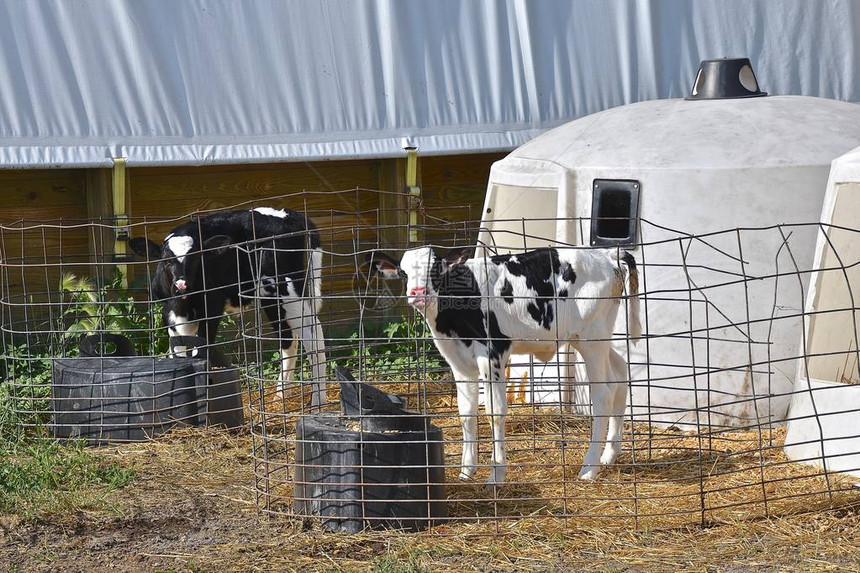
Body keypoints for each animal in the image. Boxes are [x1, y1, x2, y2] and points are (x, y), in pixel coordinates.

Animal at [129, 208, 328, 404]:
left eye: (196, 258)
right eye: (167, 261)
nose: (181, 285)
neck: (184, 304)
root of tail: (288, 213)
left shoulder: (212, 308)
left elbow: (201, 351)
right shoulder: (169, 314)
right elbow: (177, 354)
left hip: (288, 289)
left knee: (313, 336)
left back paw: (318, 401)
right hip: (270, 297)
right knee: (288, 338)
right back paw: (281, 394)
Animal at [366, 246, 640, 482]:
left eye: (436, 269)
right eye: (403, 272)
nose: (418, 293)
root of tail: (605, 253)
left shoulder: (492, 354)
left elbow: (495, 412)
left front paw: (496, 474)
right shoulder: (458, 361)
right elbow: (466, 414)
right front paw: (466, 472)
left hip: (592, 339)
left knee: (603, 395)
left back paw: (589, 468)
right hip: (599, 340)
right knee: (620, 375)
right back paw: (609, 455)